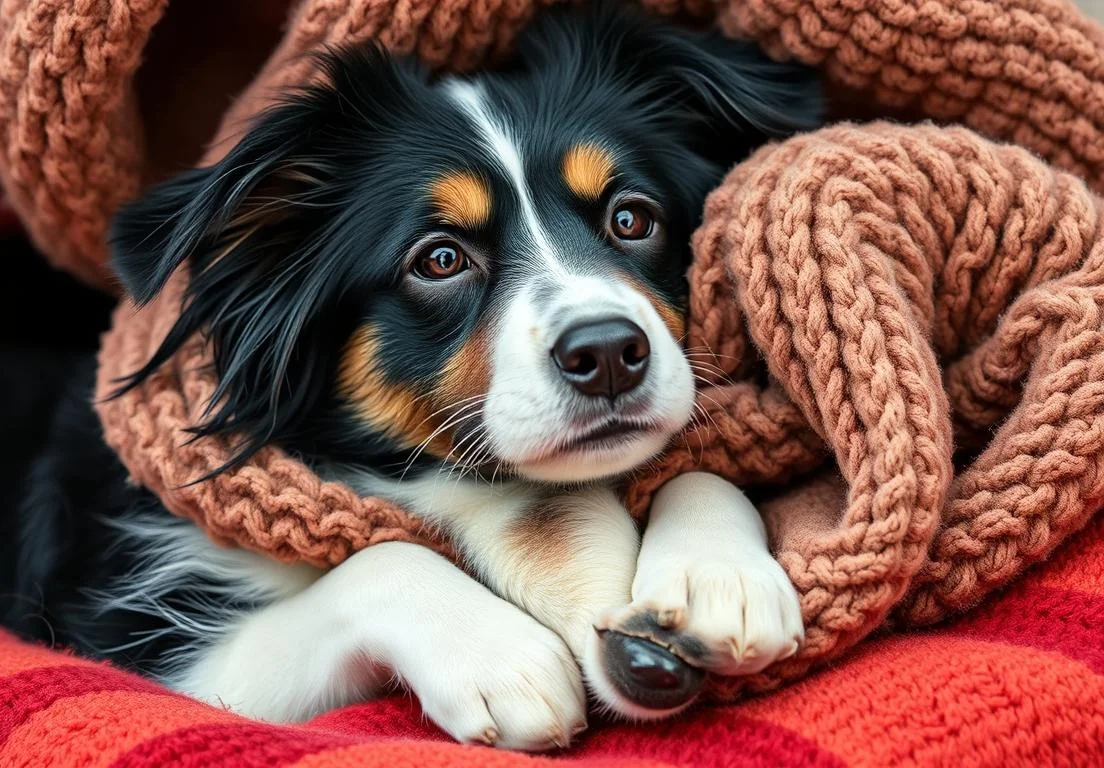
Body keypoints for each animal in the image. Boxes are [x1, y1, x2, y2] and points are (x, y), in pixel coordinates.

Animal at [0, 3, 821, 750]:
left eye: (631, 219)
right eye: (440, 259)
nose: (611, 352)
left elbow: (698, 466)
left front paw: (717, 575)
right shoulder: (153, 646)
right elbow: (382, 557)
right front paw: (501, 658)